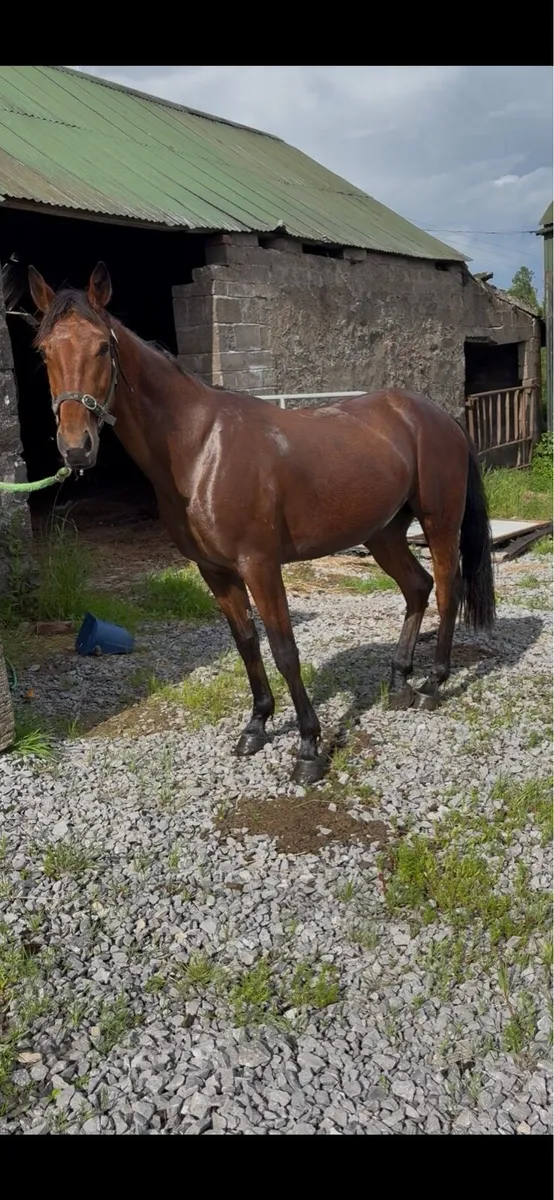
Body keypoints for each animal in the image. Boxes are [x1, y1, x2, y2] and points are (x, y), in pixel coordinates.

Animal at [28, 261, 495, 785]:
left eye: (103, 347)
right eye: (43, 351)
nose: (76, 448)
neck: (200, 449)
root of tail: (440, 416)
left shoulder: (260, 565)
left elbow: (284, 649)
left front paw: (309, 748)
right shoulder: (215, 570)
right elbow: (247, 644)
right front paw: (256, 726)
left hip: (438, 523)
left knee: (446, 589)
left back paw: (434, 684)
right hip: (384, 533)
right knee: (416, 588)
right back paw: (399, 682)